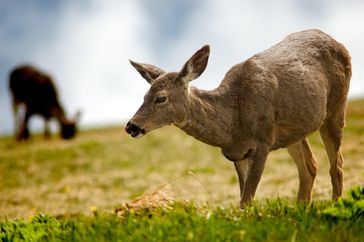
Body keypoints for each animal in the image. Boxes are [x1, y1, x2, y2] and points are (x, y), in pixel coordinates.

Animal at [124, 28, 350, 206]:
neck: (234, 123)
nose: (131, 126)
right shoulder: (238, 153)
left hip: (336, 107)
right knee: (310, 167)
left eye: (161, 98)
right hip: (294, 130)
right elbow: (243, 198)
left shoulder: (263, 142)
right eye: (144, 96)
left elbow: (246, 199)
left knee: (337, 164)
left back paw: (335, 205)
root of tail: (338, 43)